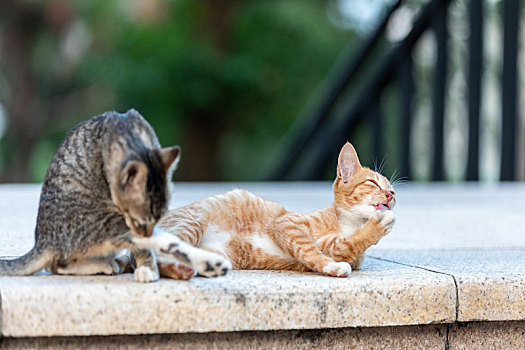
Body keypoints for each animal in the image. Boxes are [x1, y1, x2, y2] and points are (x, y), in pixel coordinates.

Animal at [0, 109, 231, 282]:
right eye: (140, 222)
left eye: (158, 217)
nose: (144, 233)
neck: (129, 132)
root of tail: (43, 243)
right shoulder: (129, 225)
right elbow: (151, 244)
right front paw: (149, 268)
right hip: (100, 222)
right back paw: (210, 263)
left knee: (58, 265)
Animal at [158, 143, 396, 278]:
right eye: (373, 183)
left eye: (392, 190)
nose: (390, 196)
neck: (350, 223)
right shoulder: (287, 224)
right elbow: (310, 250)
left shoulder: (333, 247)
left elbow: (343, 245)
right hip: (192, 223)